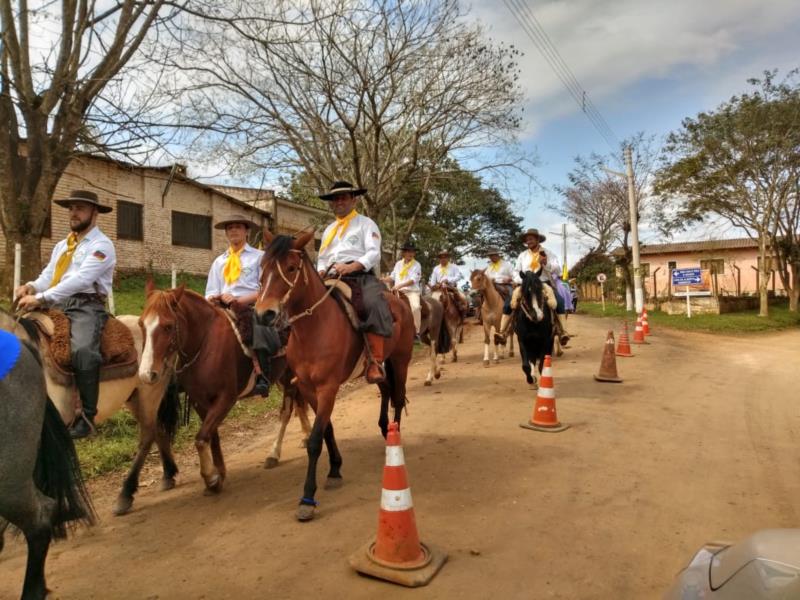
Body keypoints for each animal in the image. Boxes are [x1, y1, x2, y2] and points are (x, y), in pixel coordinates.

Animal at [256, 232, 416, 524]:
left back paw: (394, 440)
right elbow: (326, 429)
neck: (314, 328)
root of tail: (399, 301)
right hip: (380, 366)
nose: (264, 314)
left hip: (401, 360)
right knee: (386, 390)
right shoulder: (308, 388)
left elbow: (315, 440)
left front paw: (307, 498)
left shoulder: (328, 388)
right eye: (263, 267)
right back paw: (383, 429)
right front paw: (334, 470)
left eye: (291, 268)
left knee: (398, 398)